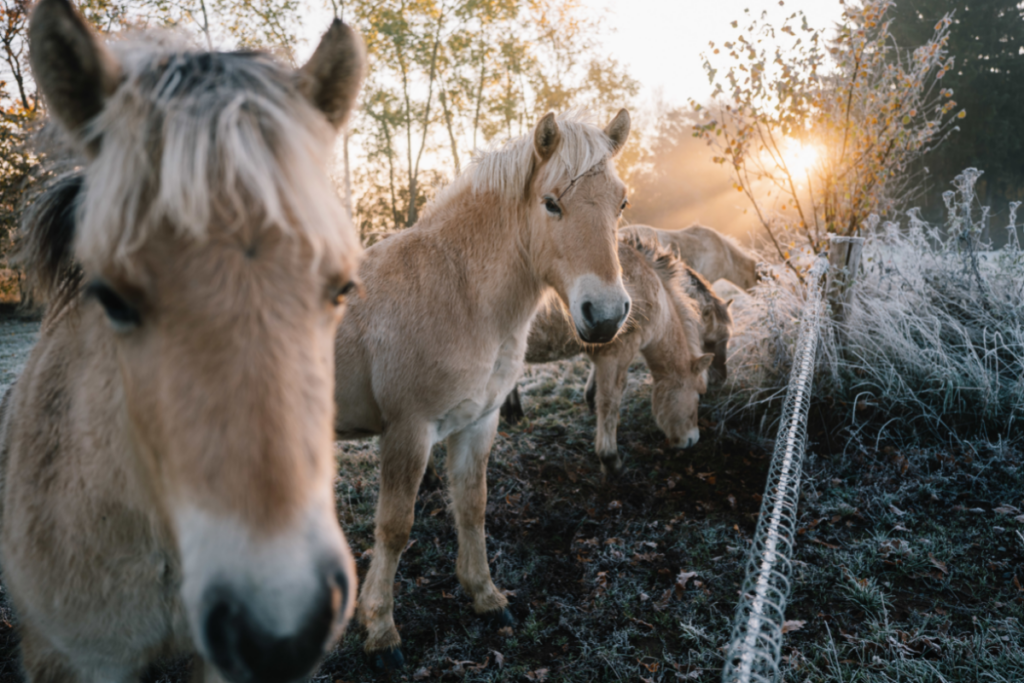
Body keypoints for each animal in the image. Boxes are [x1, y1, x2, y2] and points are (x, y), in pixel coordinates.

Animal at [331, 111, 630, 667]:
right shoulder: (409, 432)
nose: (604, 315)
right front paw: (380, 630)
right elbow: (395, 526)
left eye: (621, 203)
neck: (458, 290)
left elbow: (472, 507)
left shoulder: (477, 423)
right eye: (551, 203)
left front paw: (486, 597)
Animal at [499, 232, 716, 473]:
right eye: (699, 395)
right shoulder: (618, 352)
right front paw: (610, 459)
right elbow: (610, 400)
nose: (692, 439)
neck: (648, 286)